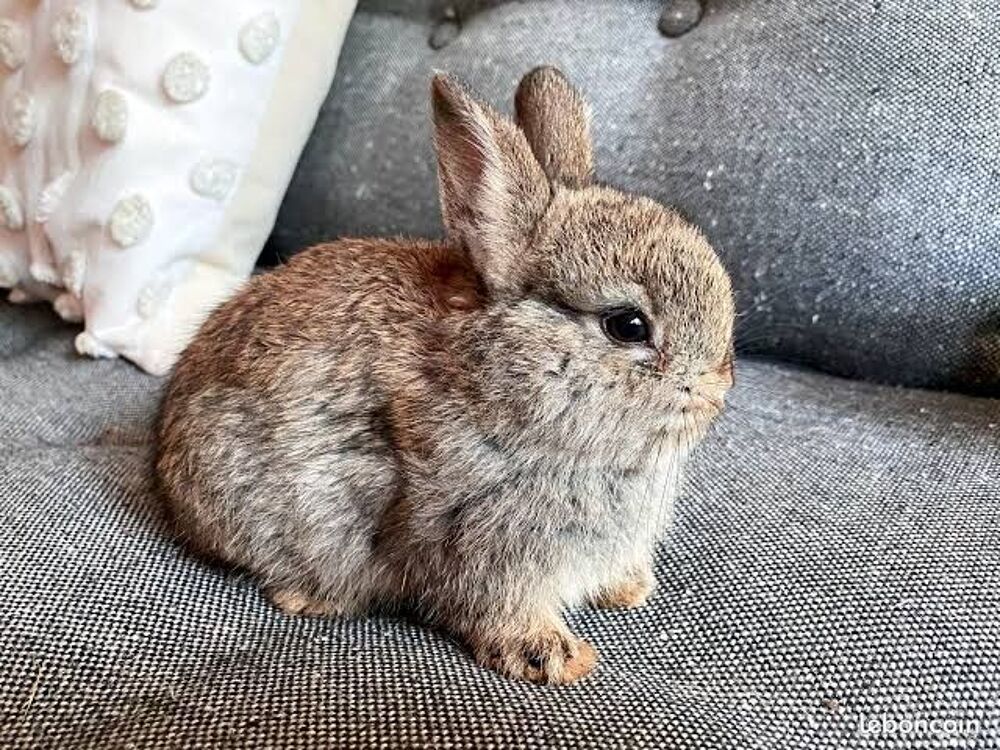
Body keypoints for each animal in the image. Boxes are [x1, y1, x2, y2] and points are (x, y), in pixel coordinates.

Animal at [156, 66, 735, 685]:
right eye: (627, 326)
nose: (717, 393)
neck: (501, 379)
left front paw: (628, 590)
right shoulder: (479, 543)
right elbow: (496, 607)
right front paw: (558, 658)